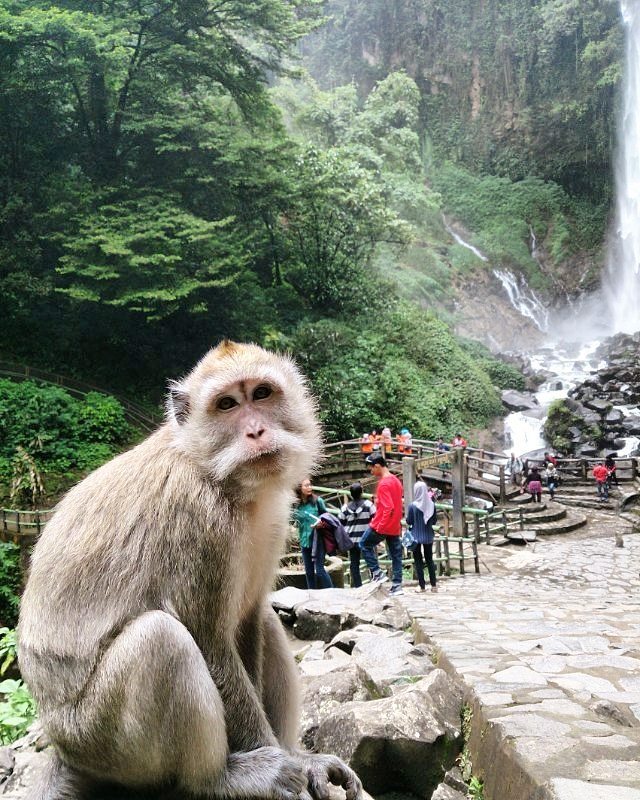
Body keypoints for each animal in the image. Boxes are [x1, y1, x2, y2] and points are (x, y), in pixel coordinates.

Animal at [17, 342, 362, 800]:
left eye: (262, 394)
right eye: (227, 404)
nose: (256, 432)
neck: (223, 479)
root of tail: (63, 750)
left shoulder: (275, 516)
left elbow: (247, 621)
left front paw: (293, 758)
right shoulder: (197, 520)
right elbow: (209, 640)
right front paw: (271, 758)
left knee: (264, 621)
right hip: (99, 738)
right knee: (161, 639)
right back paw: (219, 779)